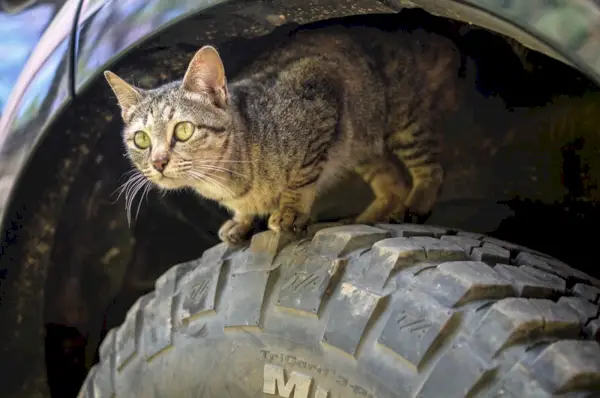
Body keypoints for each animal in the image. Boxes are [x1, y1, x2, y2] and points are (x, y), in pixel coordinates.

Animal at [105, 24, 462, 244]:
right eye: (141, 139)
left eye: (183, 129)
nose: (158, 161)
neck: (224, 182)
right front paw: (243, 219)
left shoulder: (317, 91)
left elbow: (301, 178)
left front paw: (290, 211)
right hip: (363, 144)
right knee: (393, 184)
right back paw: (360, 221)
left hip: (402, 119)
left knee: (431, 169)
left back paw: (415, 203)